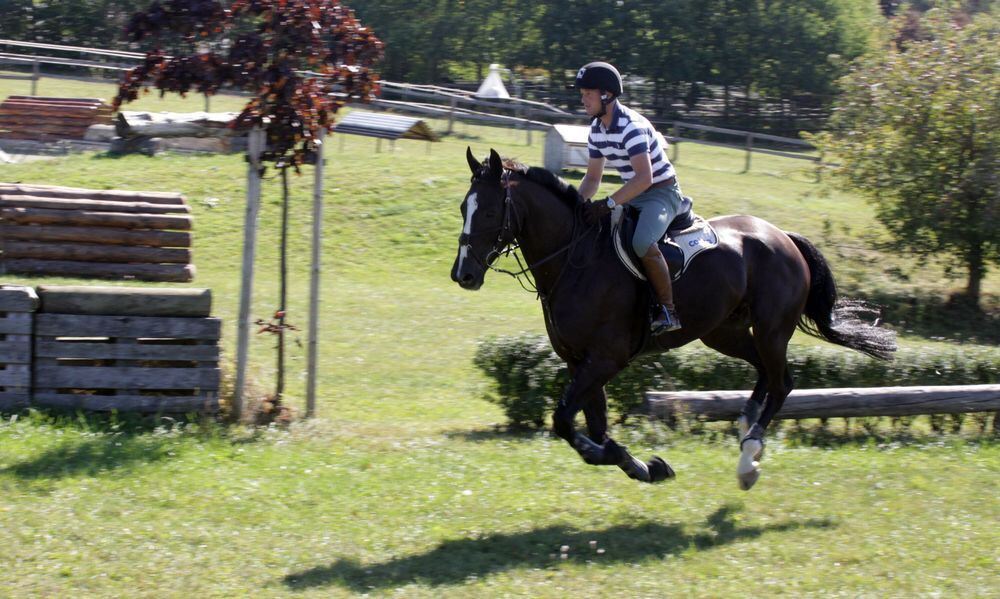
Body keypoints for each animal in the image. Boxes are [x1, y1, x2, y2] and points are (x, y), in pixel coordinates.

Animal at [454, 148, 900, 490]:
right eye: (463, 208)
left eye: (490, 211)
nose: (463, 275)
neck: (573, 260)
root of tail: (783, 236)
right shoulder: (579, 362)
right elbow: (594, 429)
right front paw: (644, 467)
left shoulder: (605, 358)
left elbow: (565, 421)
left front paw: (642, 464)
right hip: (724, 332)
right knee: (764, 375)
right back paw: (746, 427)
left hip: (772, 330)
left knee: (781, 382)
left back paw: (750, 457)